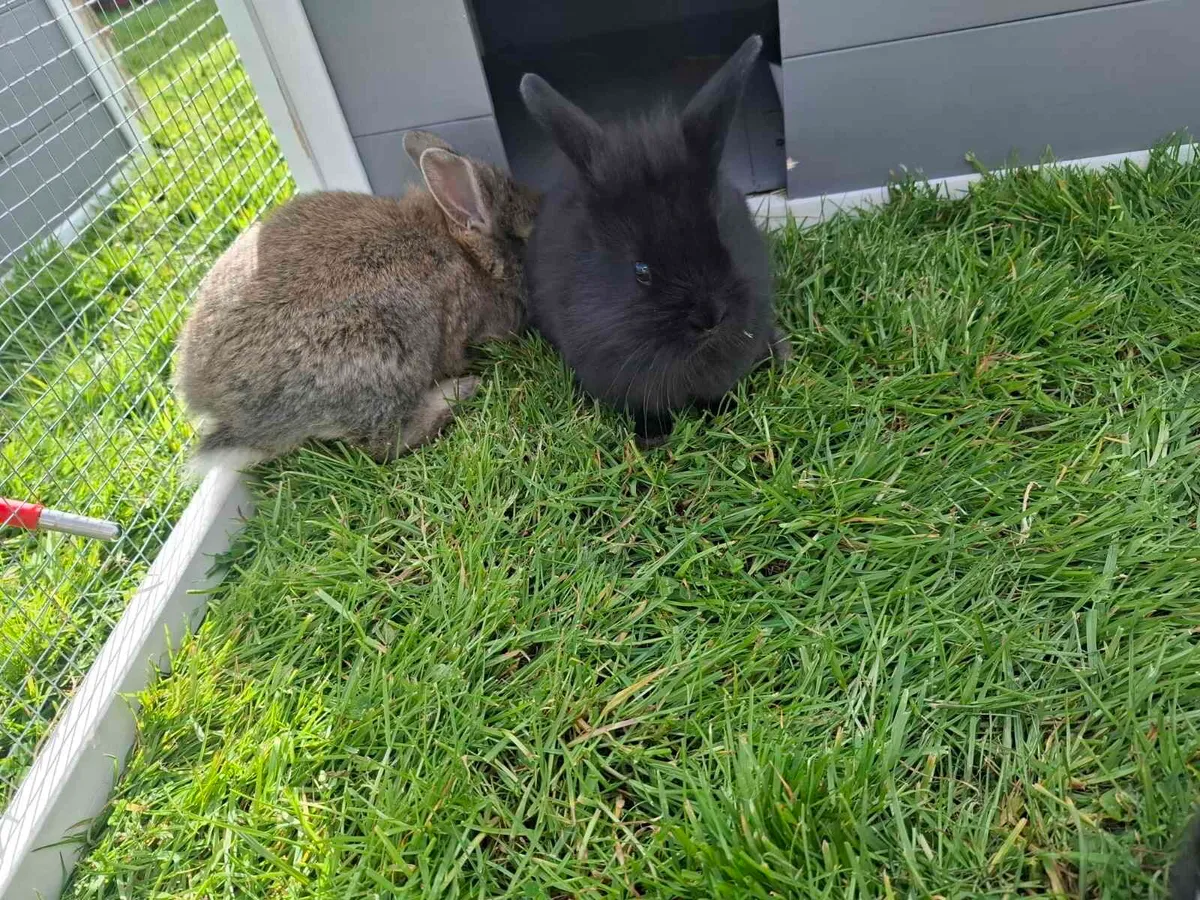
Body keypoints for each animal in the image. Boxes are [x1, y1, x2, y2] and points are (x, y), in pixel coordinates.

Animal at [175, 131, 540, 475]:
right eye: (526, 231)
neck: (464, 254)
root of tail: (223, 410)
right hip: (380, 357)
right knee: (383, 442)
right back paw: (461, 390)